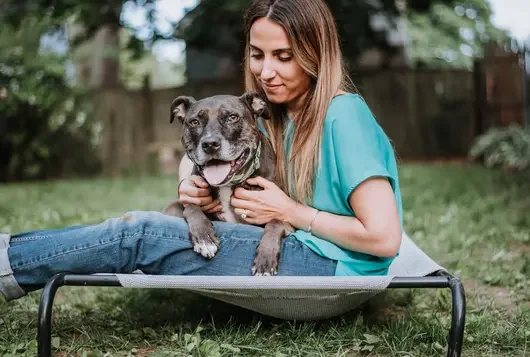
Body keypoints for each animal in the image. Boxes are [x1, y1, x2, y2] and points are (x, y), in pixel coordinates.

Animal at [163, 90, 292, 274]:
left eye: (232, 117)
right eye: (194, 122)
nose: (210, 144)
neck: (228, 184)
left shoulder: (288, 220)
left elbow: (276, 222)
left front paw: (265, 261)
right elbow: (191, 207)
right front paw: (204, 238)